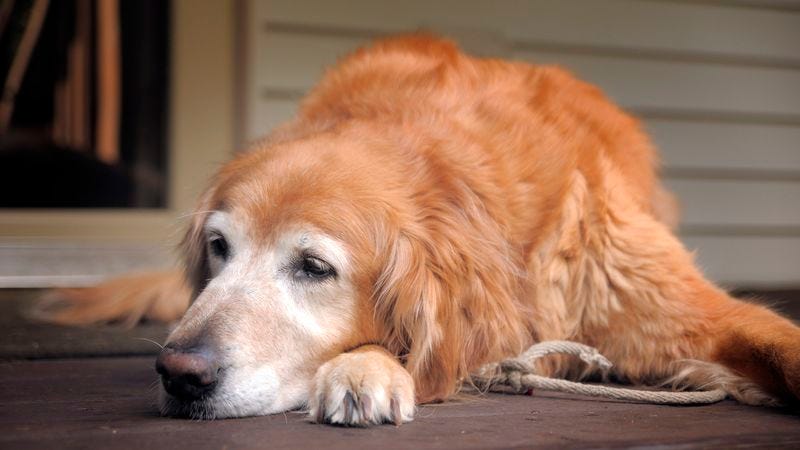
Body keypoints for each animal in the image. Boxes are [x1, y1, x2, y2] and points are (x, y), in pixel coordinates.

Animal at [43, 36, 800, 426]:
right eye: (219, 249)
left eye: (313, 267)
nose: (179, 374)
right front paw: (367, 364)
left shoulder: (661, 299)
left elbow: (775, 340)